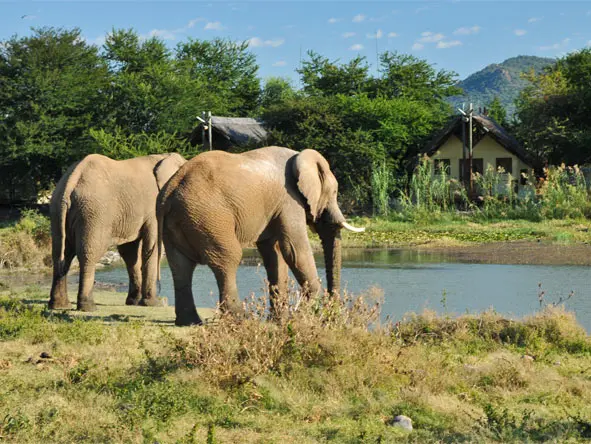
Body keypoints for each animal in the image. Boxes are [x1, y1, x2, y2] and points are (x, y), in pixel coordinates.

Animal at [49, 153, 187, 312]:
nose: (163, 298)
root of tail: (70, 183)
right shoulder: (154, 209)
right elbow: (151, 247)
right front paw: (154, 304)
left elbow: (130, 253)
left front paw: (134, 302)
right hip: (93, 214)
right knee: (88, 254)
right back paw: (89, 307)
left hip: (57, 210)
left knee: (61, 254)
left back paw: (59, 305)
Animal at [155, 147, 364, 326]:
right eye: (335, 192)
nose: (332, 316)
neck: (299, 157)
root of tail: (170, 193)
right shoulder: (290, 200)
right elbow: (294, 250)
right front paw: (312, 315)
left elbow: (274, 253)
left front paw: (280, 321)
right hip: (209, 217)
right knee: (228, 258)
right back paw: (242, 319)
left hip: (177, 223)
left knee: (180, 266)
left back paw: (190, 322)